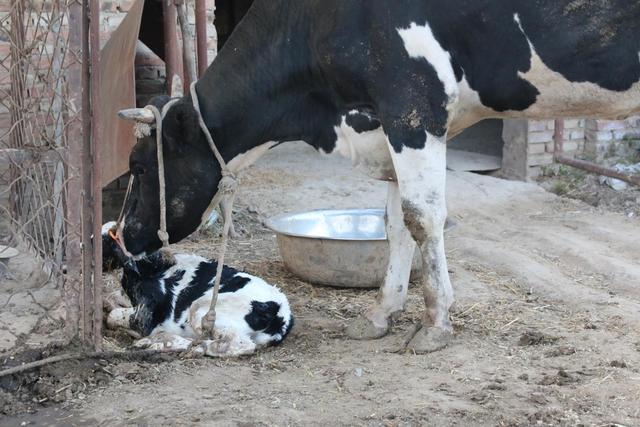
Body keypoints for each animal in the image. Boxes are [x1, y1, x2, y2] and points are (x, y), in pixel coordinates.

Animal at [102, 222, 296, 356]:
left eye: (105, 240)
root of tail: (282, 313)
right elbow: (110, 299)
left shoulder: (146, 314)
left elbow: (114, 317)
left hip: (202, 309)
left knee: (242, 345)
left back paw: (193, 346)